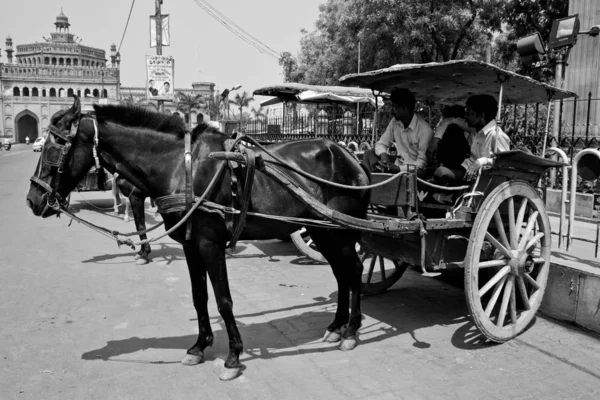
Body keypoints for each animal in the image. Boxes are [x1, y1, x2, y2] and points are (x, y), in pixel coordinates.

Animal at [25, 97, 370, 382]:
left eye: (53, 147)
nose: (33, 199)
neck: (181, 167)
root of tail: (349, 156)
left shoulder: (209, 245)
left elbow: (223, 300)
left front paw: (233, 357)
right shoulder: (191, 245)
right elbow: (199, 297)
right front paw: (199, 346)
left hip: (335, 231)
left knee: (352, 270)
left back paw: (351, 330)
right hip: (323, 231)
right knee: (342, 273)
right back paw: (336, 328)